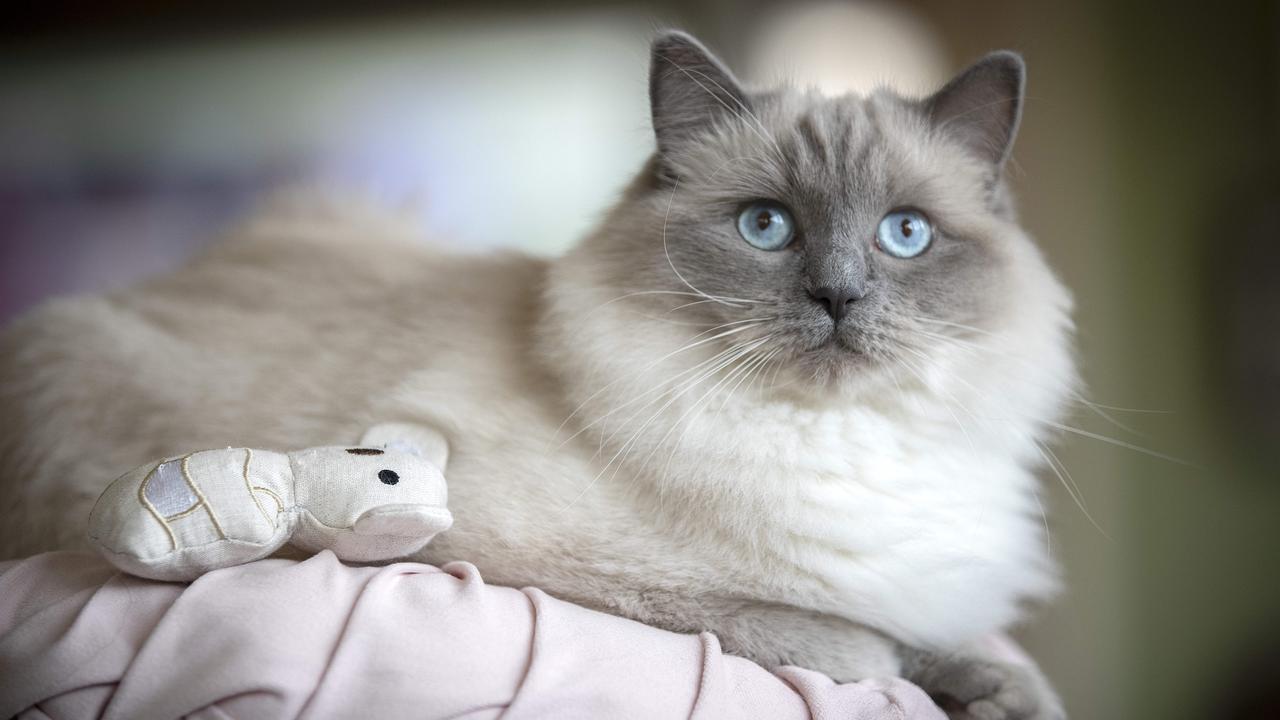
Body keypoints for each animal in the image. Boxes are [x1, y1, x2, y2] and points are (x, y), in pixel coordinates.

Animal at [0, 30, 1075, 712]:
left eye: (906, 234)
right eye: (766, 226)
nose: (839, 297)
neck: (835, 438)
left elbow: (966, 646)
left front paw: (1008, 694)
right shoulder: (557, 573)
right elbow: (845, 639)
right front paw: (921, 672)